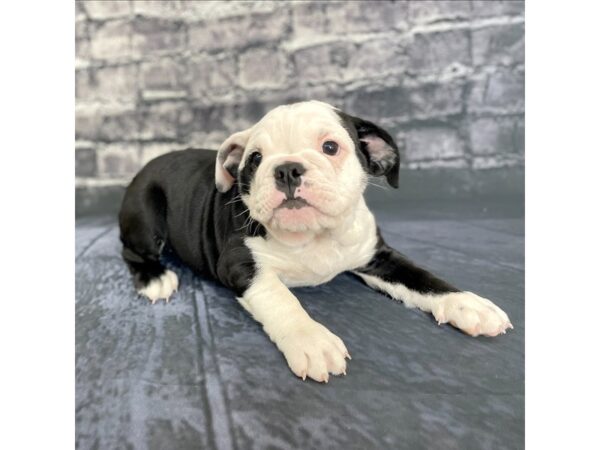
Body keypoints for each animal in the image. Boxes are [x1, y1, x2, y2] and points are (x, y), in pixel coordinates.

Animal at [118, 100, 510, 382]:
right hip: (146, 214)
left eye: (330, 147)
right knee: (132, 251)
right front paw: (311, 340)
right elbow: (282, 300)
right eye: (255, 159)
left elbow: (423, 278)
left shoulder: (378, 257)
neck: (314, 236)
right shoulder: (243, 265)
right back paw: (155, 278)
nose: (287, 168)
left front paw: (467, 303)